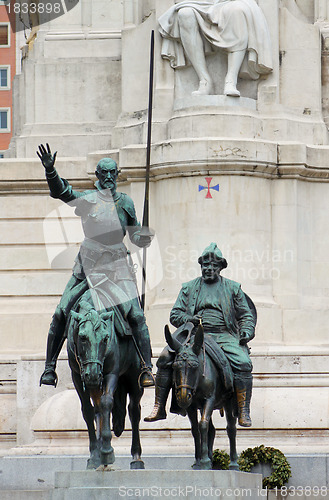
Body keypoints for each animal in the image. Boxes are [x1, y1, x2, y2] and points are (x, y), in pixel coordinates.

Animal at [66, 292, 144, 470]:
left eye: (106, 338)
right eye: (82, 337)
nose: (94, 375)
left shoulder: (111, 374)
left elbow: (107, 402)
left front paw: (107, 451)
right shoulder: (77, 376)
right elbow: (88, 410)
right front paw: (95, 455)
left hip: (135, 380)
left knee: (134, 410)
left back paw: (136, 457)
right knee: (98, 411)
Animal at [164, 322, 238, 470]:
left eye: (194, 366)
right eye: (174, 366)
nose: (182, 397)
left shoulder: (209, 400)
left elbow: (203, 424)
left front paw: (204, 461)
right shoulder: (191, 406)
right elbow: (195, 429)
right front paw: (199, 461)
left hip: (228, 402)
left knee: (231, 429)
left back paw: (233, 463)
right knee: (212, 430)